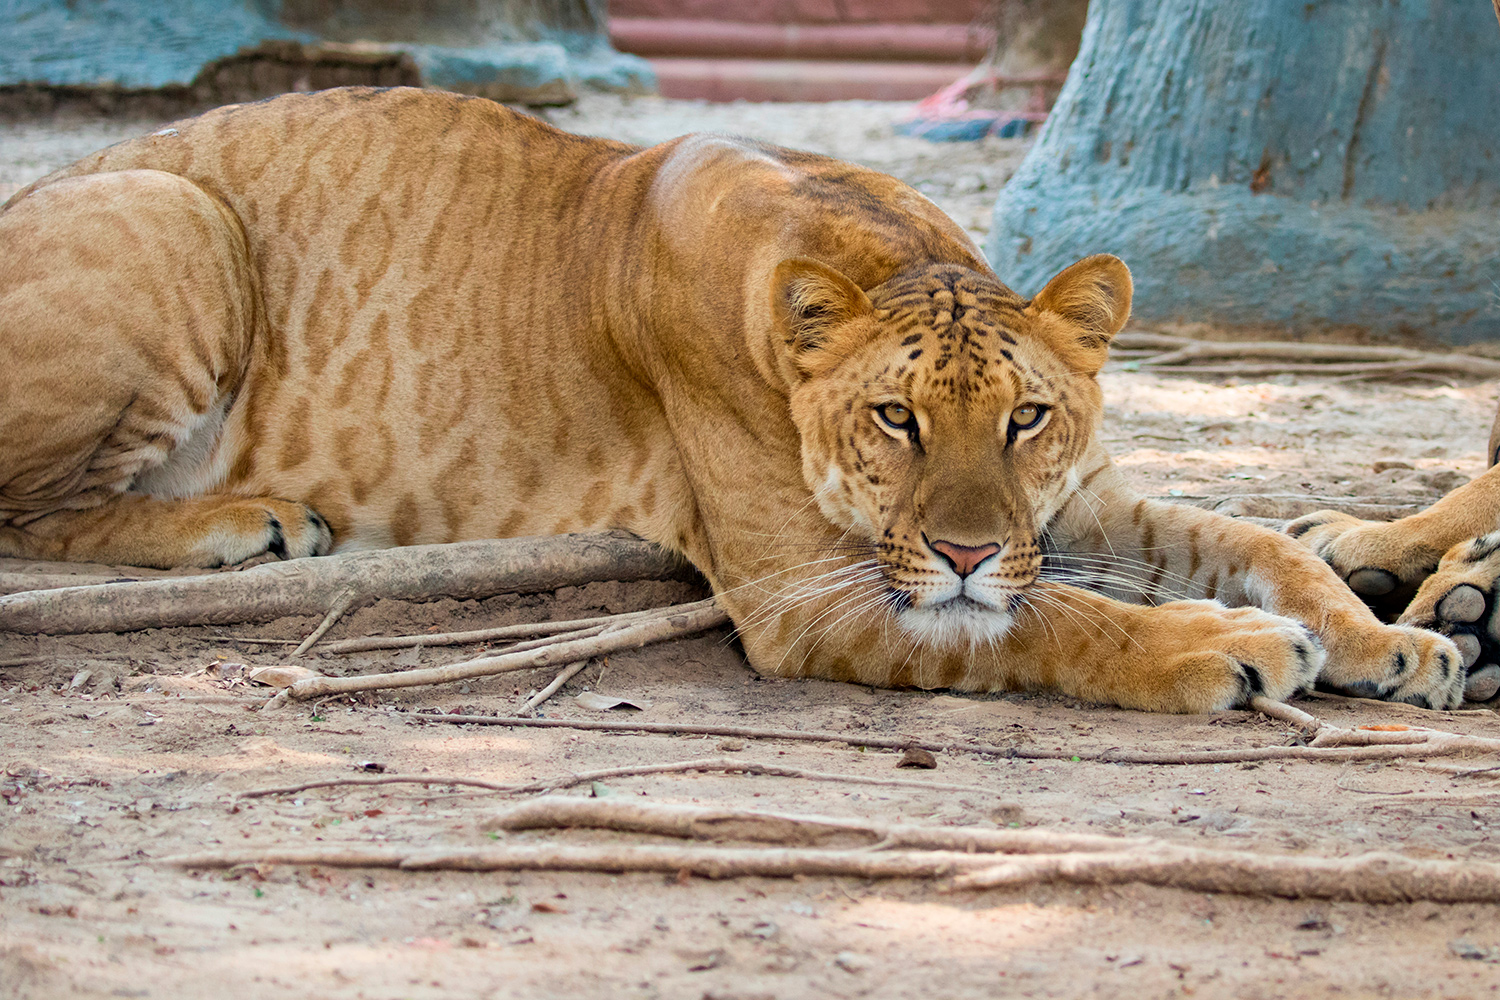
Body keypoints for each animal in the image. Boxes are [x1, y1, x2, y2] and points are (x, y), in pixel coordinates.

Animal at [0, 87, 1465, 712]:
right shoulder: (804, 593)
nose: (966, 546)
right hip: (173, 212)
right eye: (895, 419)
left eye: (1027, 419)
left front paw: (1390, 643)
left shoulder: (1066, 503)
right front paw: (1223, 649)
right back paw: (241, 523)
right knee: (29, 511)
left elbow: (1257, 537)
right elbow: (1056, 621)